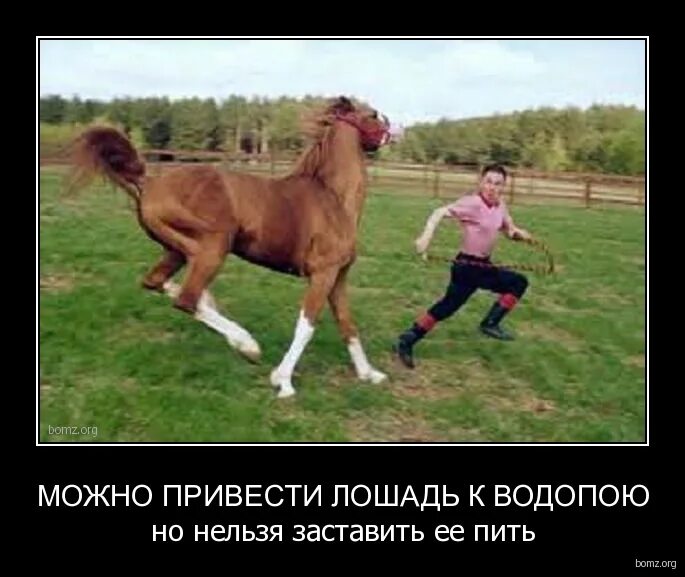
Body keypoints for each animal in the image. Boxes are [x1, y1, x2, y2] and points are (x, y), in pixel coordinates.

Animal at [68, 95, 396, 398]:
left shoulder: (338, 275)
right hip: (213, 246)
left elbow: (347, 324)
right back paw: (247, 344)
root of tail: (149, 182)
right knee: (187, 298)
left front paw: (369, 374)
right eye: (373, 114)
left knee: (160, 283)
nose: (392, 133)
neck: (333, 199)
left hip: (177, 250)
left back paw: (235, 337)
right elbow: (307, 326)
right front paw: (283, 382)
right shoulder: (322, 273)